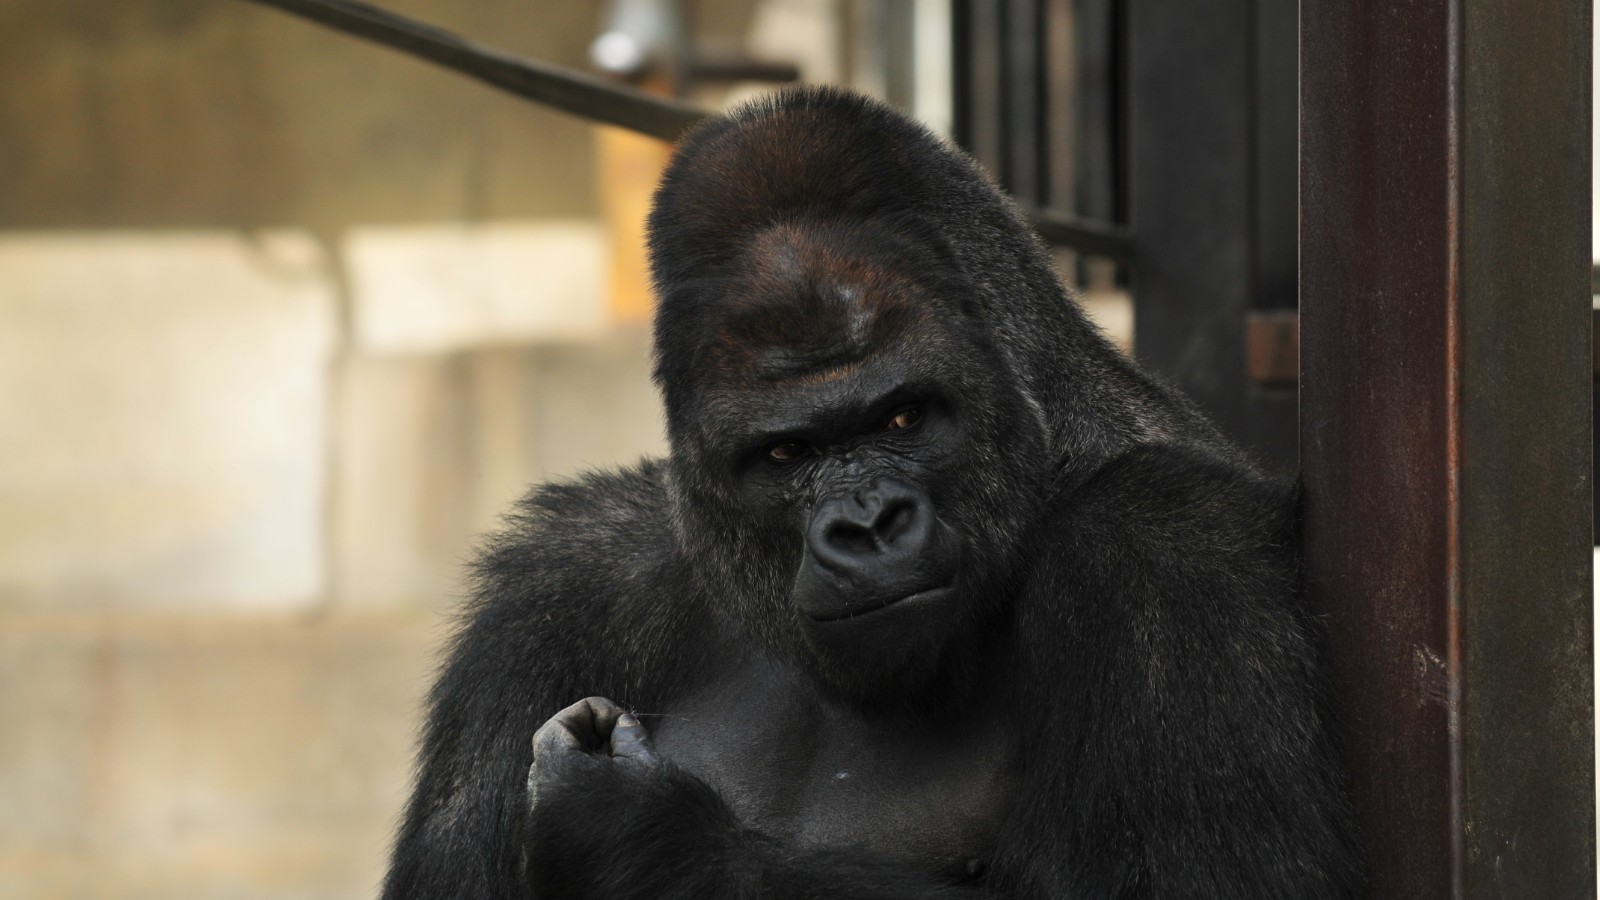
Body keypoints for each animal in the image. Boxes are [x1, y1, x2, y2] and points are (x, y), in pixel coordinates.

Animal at [377, 85, 1363, 896]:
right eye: (786, 453)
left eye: (904, 417)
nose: (868, 524)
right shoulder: (557, 588)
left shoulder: (1166, 550)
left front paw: (644, 834)